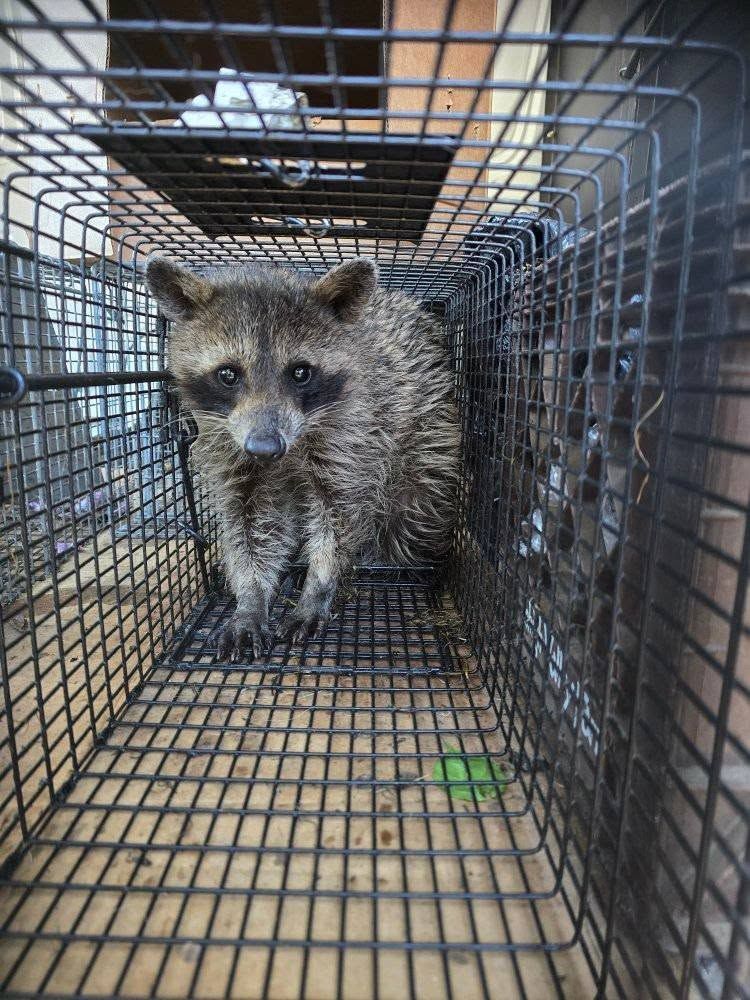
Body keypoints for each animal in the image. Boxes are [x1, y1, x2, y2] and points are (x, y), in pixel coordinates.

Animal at [146, 256, 460, 660]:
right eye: (228, 374)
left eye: (300, 372)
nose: (264, 448)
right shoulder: (228, 447)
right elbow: (249, 525)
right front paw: (251, 598)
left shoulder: (356, 436)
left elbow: (340, 515)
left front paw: (319, 586)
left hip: (428, 437)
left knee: (416, 508)